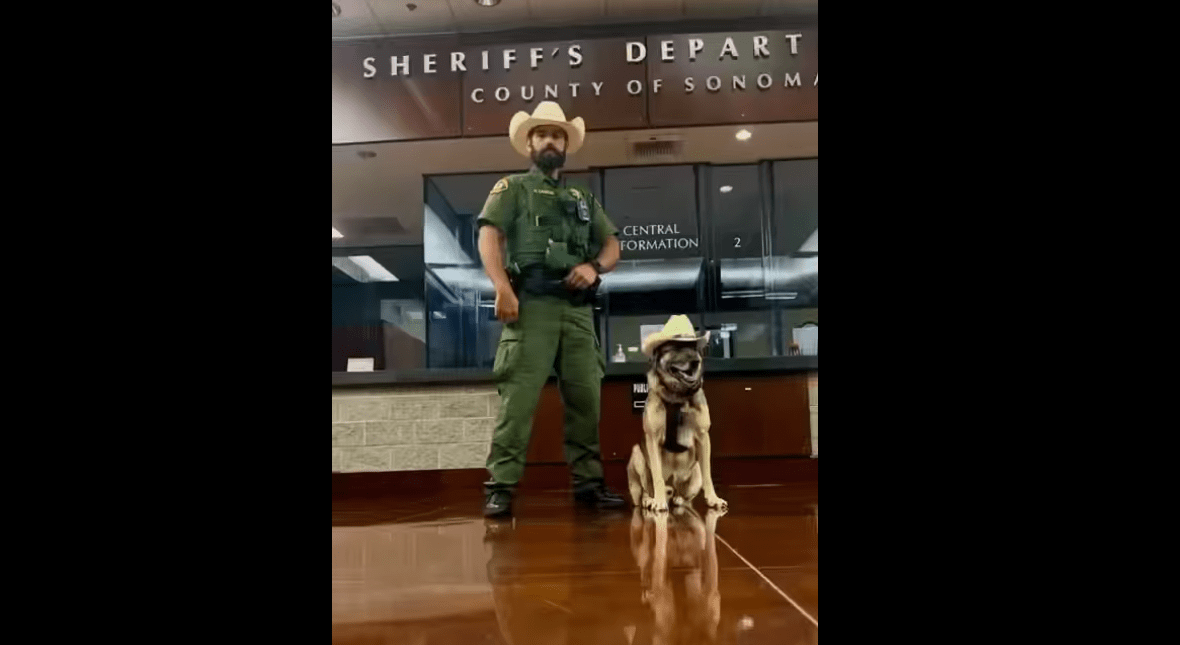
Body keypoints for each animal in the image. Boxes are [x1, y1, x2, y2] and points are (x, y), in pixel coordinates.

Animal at [632, 316, 722, 511]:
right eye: (676, 347)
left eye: (694, 348)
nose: (695, 362)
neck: (677, 395)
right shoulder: (652, 439)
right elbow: (656, 474)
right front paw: (658, 500)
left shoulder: (703, 437)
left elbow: (708, 474)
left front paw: (713, 498)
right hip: (637, 455)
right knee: (646, 487)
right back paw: (650, 499)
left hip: (694, 472)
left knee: (685, 492)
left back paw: (680, 499)